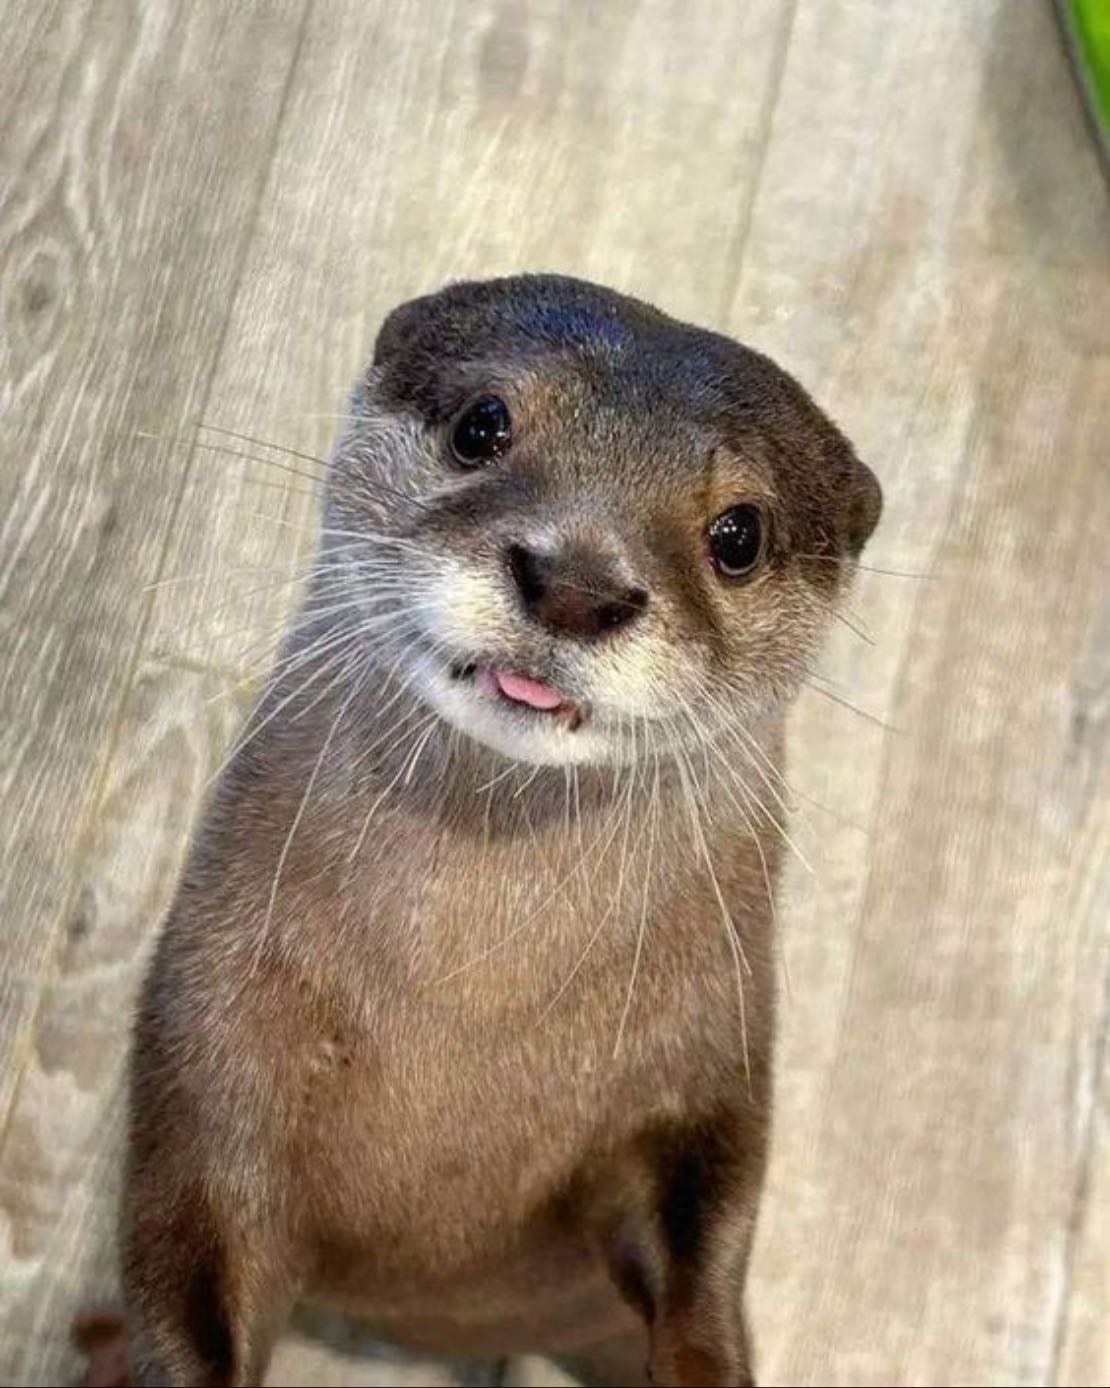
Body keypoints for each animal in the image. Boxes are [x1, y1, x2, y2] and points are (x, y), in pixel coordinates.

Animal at [91, 275, 881, 1387]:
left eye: (740, 534)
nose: (578, 582)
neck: (469, 1002)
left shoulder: (708, 1061)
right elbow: (183, 1257)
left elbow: (709, 1231)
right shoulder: (207, 1044)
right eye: (482, 424)